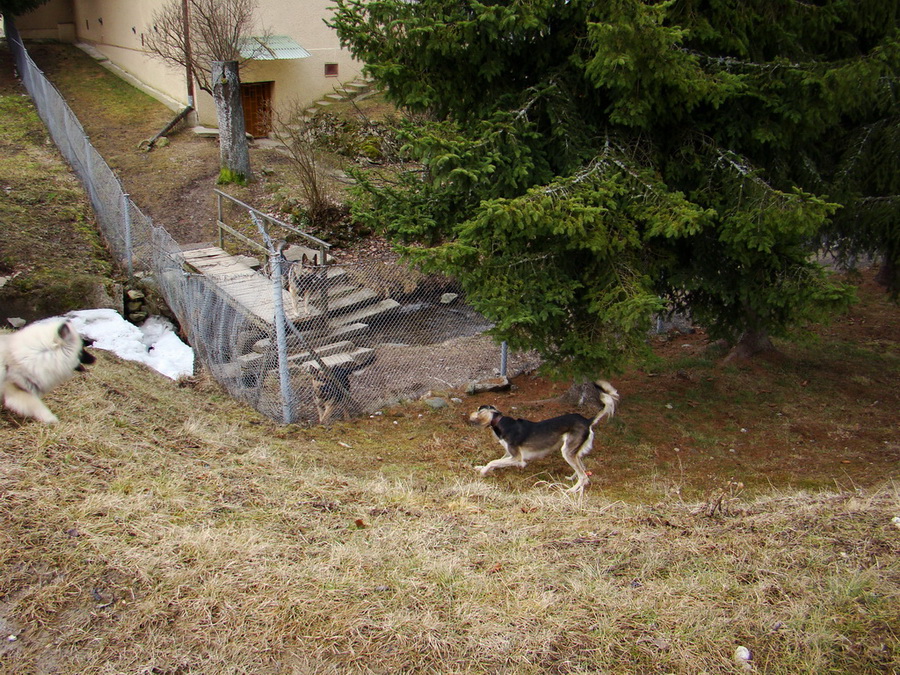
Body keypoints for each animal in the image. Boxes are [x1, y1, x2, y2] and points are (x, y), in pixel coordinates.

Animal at [472, 382, 620, 494]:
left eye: (477, 409)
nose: (470, 415)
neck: (501, 422)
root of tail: (587, 420)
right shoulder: (509, 454)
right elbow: (495, 462)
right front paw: (482, 468)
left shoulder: (517, 458)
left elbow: (493, 462)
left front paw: (484, 471)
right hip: (572, 451)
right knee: (583, 470)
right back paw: (573, 480)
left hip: (567, 451)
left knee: (583, 476)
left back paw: (571, 491)